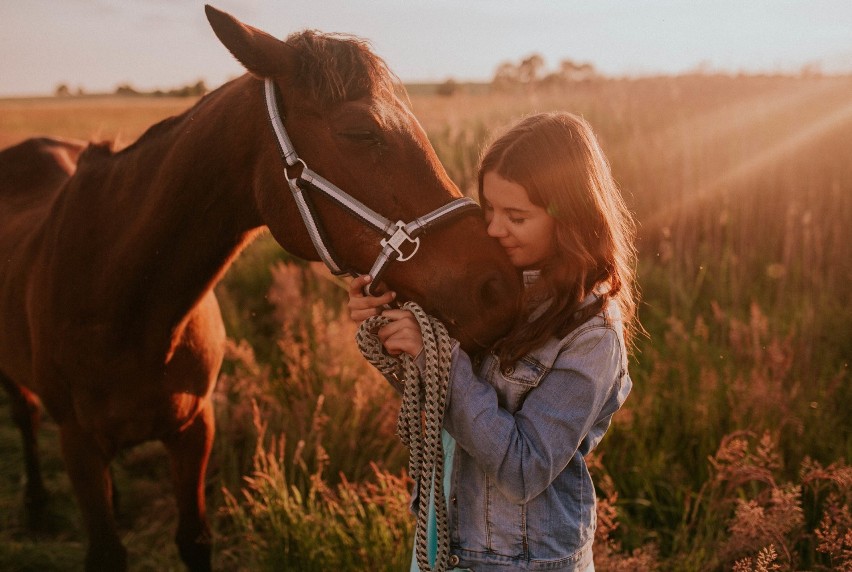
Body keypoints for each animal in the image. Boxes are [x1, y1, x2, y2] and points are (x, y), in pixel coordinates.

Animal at [0, 5, 520, 572]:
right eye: (361, 131)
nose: (498, 286)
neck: (122, 298)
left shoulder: (194, 430)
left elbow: (195, 538)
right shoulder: (79, 446)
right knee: (24, 415)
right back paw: (36, 505)